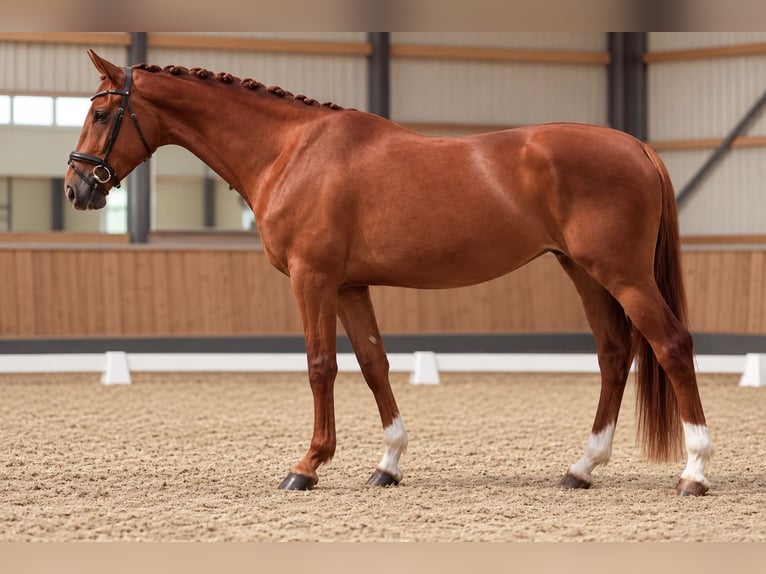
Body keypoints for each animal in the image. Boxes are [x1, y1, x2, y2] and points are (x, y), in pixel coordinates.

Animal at [65, 50, 713, 495]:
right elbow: (374, 365)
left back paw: (695, 471)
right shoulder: (351, 286)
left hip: (623, 276)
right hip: (584, 272)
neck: (291, 151)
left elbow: (320, 366)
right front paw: (388, 464)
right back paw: (581, 468)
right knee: (614, 355)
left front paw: (307, 467)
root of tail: (637, 147)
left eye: (101, 112)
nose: (77, 188)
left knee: (671, 346)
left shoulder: (313, 279)